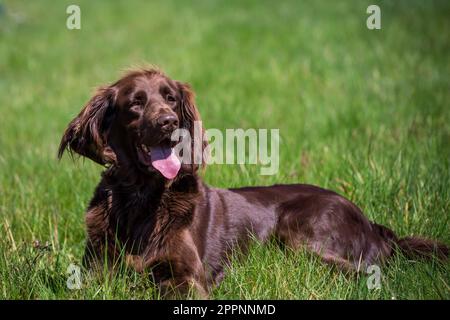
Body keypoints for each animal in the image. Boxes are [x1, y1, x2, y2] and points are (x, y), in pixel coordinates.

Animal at [58, 67, 448, 298]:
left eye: (171, 98)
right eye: (136, 103)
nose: (170, 122)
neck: (144, 201)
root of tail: (371, 223)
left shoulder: (188, 276)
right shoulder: (93, 273)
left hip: (299, 232)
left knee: (363, 272)